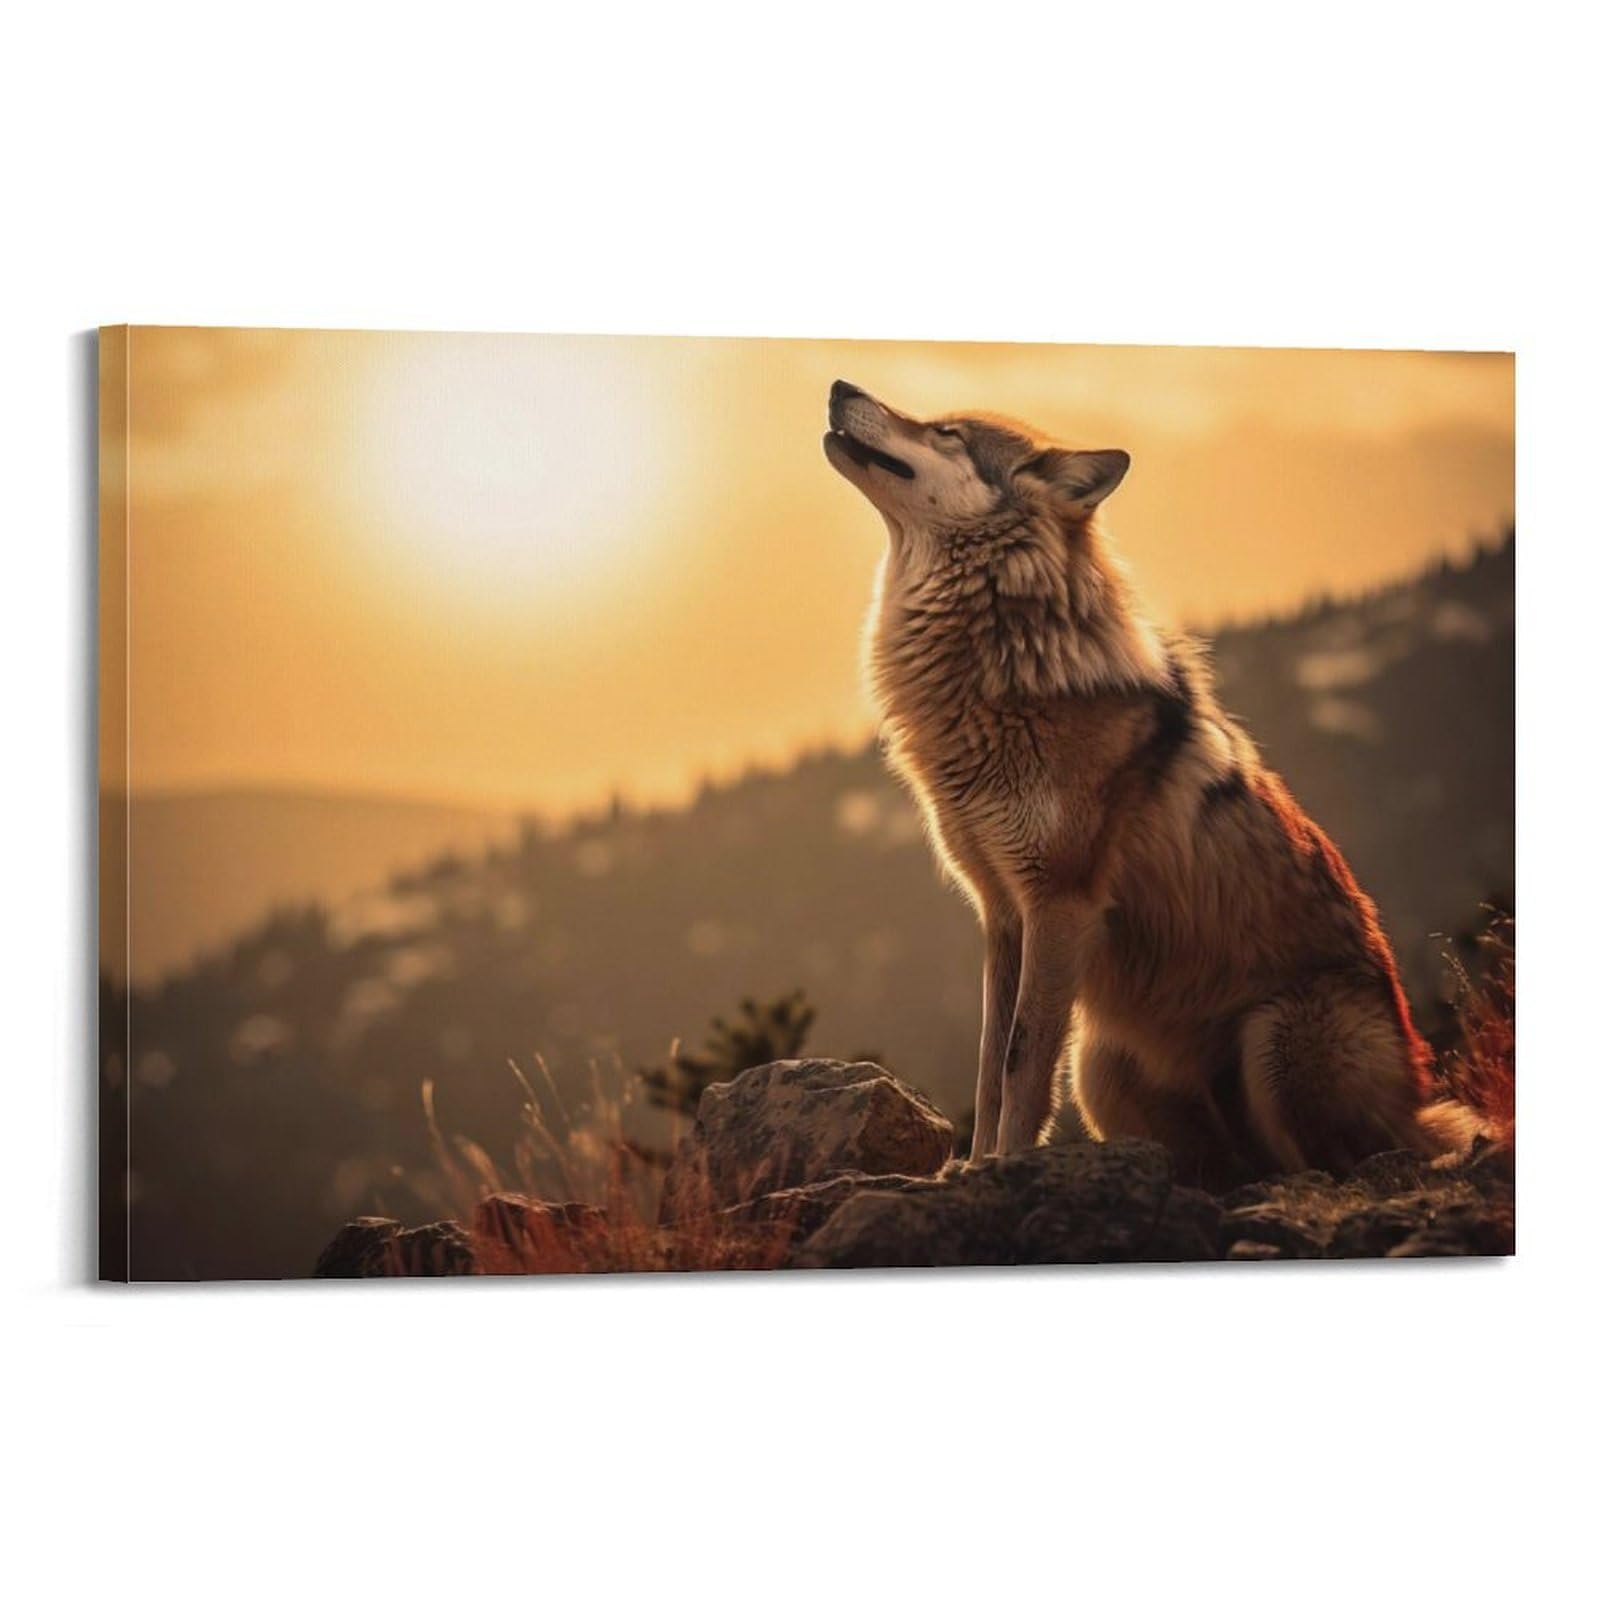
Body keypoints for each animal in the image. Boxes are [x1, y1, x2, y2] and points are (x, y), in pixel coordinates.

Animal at [824, 379, 1479, 1184]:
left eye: (946, 431)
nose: (839, 386)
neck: (997, 672)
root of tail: (1419, 1105)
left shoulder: (1059, 903)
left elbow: (1019, 1062)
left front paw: (1007, 1166)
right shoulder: (1002, 911)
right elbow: (987, 1065)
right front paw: (971, 1168)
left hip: (1274, 1040)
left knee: (1334, 1164)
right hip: (1102, 1065)